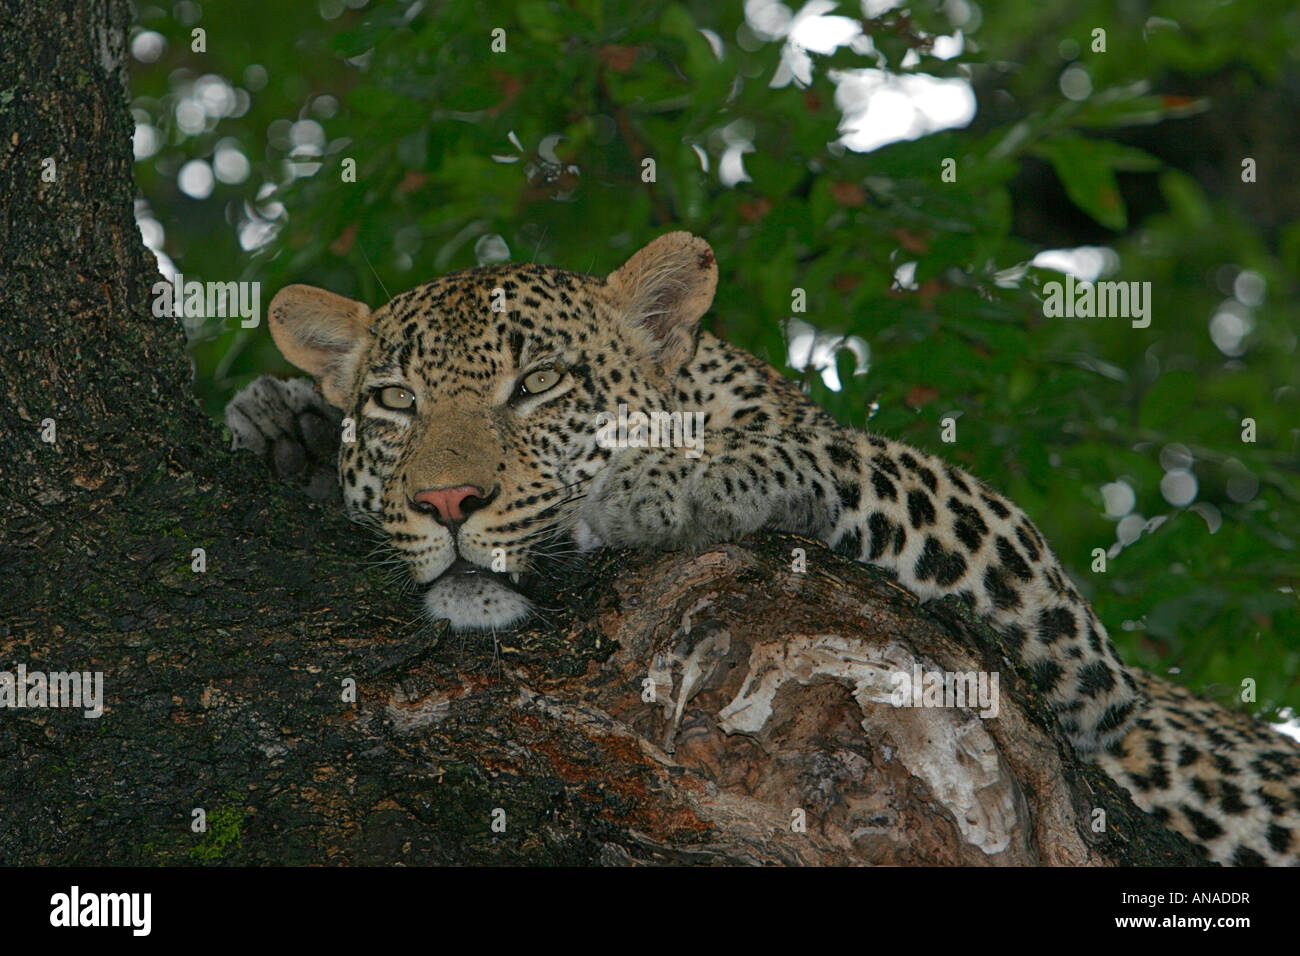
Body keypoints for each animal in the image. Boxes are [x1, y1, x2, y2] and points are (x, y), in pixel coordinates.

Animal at [226, 231, 1300, 866]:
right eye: (393, 402)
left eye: (538, 384)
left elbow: (855, 450)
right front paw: (287, 427)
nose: (448, 499)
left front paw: (675, 480)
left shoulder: (1072, 645)